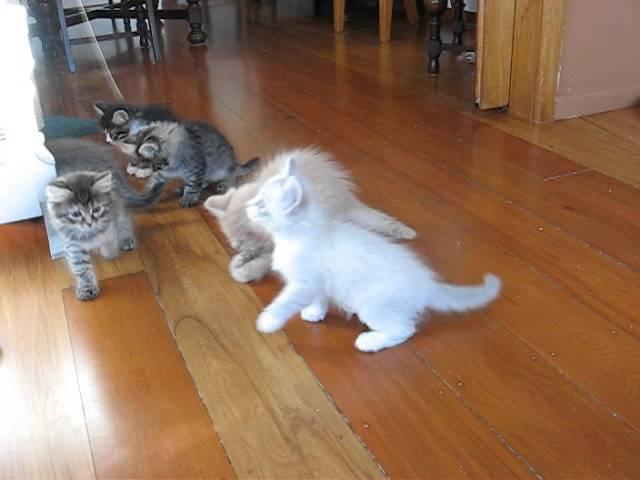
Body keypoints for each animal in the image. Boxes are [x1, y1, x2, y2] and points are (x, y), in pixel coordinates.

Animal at [45, 137, 164, 300]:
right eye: (76, 214)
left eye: (96, 209)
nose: (89, 223)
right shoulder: (72, 243)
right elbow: (80, 267)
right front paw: (87, 287)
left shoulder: (110, 221)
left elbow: (109, 241)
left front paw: (108, 251)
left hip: (118, 203)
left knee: (125, 217)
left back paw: (126, 238)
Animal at [125, 121, 260, 207]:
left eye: (151, 165)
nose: (153, 170)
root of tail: (235, 163)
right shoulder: (168, 172)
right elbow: (158, 178)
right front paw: (149, 189)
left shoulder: (197, 168)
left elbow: (193, 186)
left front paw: (189, 197)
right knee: (205, 182)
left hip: (221, 169)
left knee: (233, 178)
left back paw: (224, 184)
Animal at [202, 148, 418, 284]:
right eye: (234, 241)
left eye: (245, 238)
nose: (238, 248)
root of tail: (346, 199)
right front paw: (241, 260)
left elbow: (269, 259)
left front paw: (246, 270)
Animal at [248, 156, 502, 350]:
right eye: (256, 197)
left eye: (262, 205)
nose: (248, 205)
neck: (295, 237)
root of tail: (426, 284)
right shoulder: (319, 283)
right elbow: (319, 299)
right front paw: (314, 313)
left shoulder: (305, 282)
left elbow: (285, 302)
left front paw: (268, 321)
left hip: (372, 307)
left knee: (405, 329)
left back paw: (369, 342)